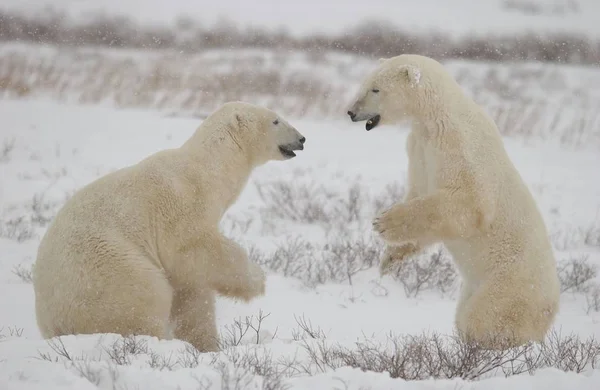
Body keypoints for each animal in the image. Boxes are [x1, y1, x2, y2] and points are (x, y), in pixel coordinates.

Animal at [31, 100, 308, 350]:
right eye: (275, 120)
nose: (302, 139)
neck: (209, 170)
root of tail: (53, 325)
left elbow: (191, 291)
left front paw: (205, 345)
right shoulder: (181, 208)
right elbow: (197, 249)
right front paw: (257, 280)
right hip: (106, 268)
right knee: (145, 293)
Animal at [346, 53, 564, 348]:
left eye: (375, 89)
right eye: (366, 84)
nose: (351, 112)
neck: (435, 116)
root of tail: (551, 309)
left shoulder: (459, 146)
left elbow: (468, 202)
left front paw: (385, 223)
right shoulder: (419, 147)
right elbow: (420, 191)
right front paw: (390, 258)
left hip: (510, 287)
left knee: (484, 317)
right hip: (475, 286)